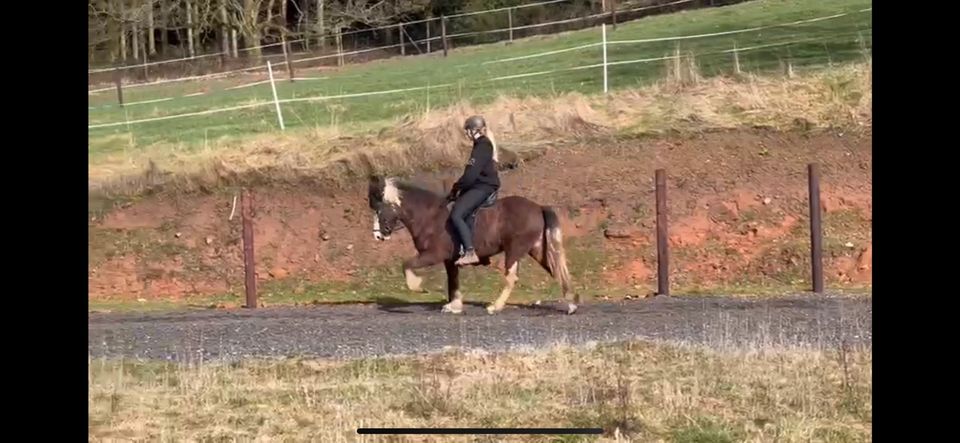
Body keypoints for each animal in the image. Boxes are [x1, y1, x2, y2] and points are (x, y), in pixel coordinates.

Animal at [366, 175, 576, 314]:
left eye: (379, 210)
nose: (377, 235)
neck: (429, 217)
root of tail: (538, 207)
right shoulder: (450, 260)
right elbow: (453, 281)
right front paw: (454, 305)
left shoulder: (433, 254)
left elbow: (407, 265)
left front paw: (417, 287)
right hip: (536, 249)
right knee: (556, 270)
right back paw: (571, 304)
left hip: (514, 250)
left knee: (511, 278)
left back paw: (495, 306)